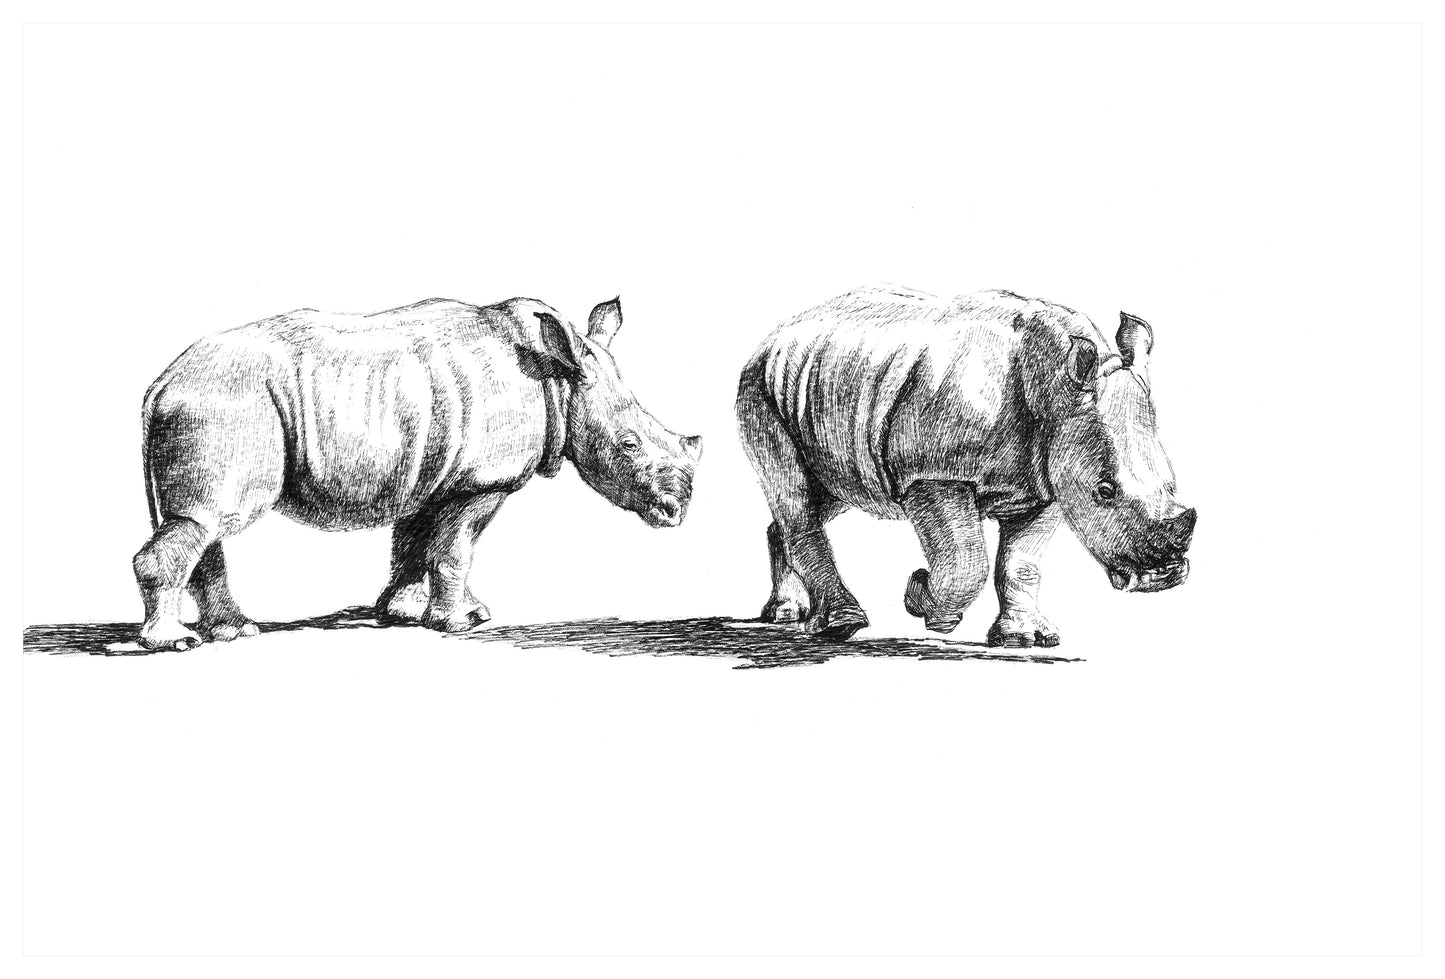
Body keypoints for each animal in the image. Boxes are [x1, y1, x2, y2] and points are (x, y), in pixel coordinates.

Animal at [134, 296, 702, 651]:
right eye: (628, 446)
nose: (676, 511)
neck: (558, 382)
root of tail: (159, 385)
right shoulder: (482, 481)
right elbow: (456, 547)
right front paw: (459, 623)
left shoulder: (426, 471)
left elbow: (415, 544)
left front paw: (405, 613)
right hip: (228, 404)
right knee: (211, 518)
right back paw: (177, 643)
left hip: (220, 404)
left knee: (205, 522)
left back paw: (236, 632)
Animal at [735, 286, 1196, 645]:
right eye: (1104, 492)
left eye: (1172, 483)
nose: (1164, 575)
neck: (1051, 386)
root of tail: (773, 337)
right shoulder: (932, 471)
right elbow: (965, 561)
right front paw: (923, 599)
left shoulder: (1045, 485)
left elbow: (1021, 564)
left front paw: (1025, 640)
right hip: (759, 386)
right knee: (795, 493)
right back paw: (839, 626)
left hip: (819, 385)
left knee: (827, 493)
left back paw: (787, 614)